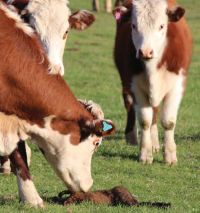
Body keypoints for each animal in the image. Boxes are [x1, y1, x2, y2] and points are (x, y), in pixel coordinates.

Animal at [112, 0, 192, 165]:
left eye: (161, 26)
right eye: (133, 26)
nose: (145, 52)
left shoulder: (177, 85)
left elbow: (168, 121)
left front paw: (169, 155)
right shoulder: (135, 86)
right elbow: (145, 121)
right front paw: (145, 153)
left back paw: (155, 143)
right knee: (131, 105)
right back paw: (133, 137)